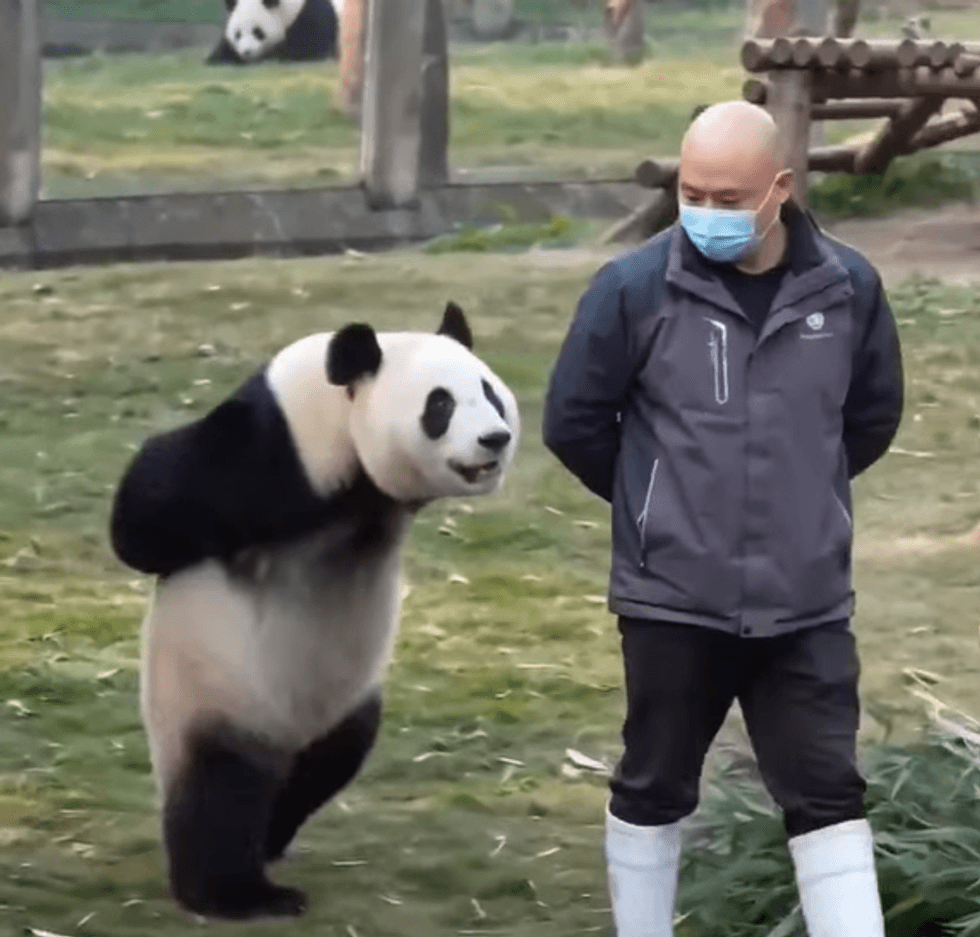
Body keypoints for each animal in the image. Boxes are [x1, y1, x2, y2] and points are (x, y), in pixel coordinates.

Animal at [109, 303, 519, 921]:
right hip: (211, 696)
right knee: (220, 794)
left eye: (490, 392)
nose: (495, 438)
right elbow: (143, 520)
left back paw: (274, 835)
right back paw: (241, 893)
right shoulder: (272, 444)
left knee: (328, 765)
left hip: (341, 707)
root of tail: (282, 740)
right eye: (441, 405)